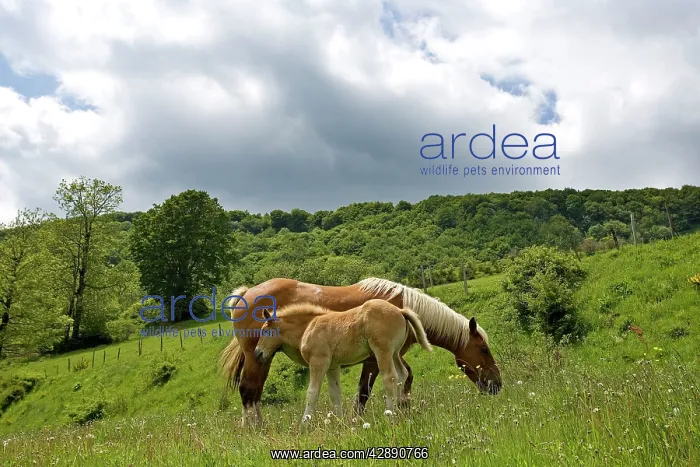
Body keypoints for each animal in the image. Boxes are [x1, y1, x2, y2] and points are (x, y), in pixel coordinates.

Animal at [252, 299, 433, 425]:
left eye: (266, 332)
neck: (308, 328)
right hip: (395, 353)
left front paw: (304, 425)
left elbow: (312, 393)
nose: (257, 354)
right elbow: (335, 394)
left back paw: (390, 415)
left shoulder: (318, 363)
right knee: (403, 374)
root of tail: (400, 310)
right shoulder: (333, 367)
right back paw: (400, 410)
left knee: (390, 377)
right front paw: (340, 424)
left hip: (383, 351)